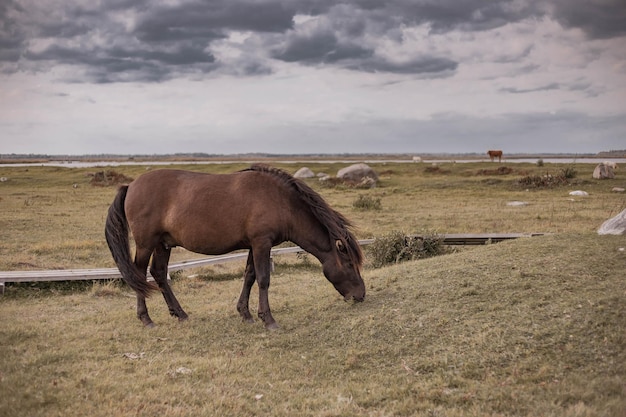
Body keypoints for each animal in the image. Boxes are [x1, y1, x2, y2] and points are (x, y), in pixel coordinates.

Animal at [105, 162, 364, 328]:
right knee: (140, 274)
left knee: (158, 273)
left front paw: (246, 314)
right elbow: (263, 279)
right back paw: (146, 318)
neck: (281, 202)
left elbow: (249, 276)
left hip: (163, 244)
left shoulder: (254, 245)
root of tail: (130, 186)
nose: (361, 295)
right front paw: (268, 319)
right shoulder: (262, 243)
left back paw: (180, 313)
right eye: (350, 264)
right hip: (146, 244)